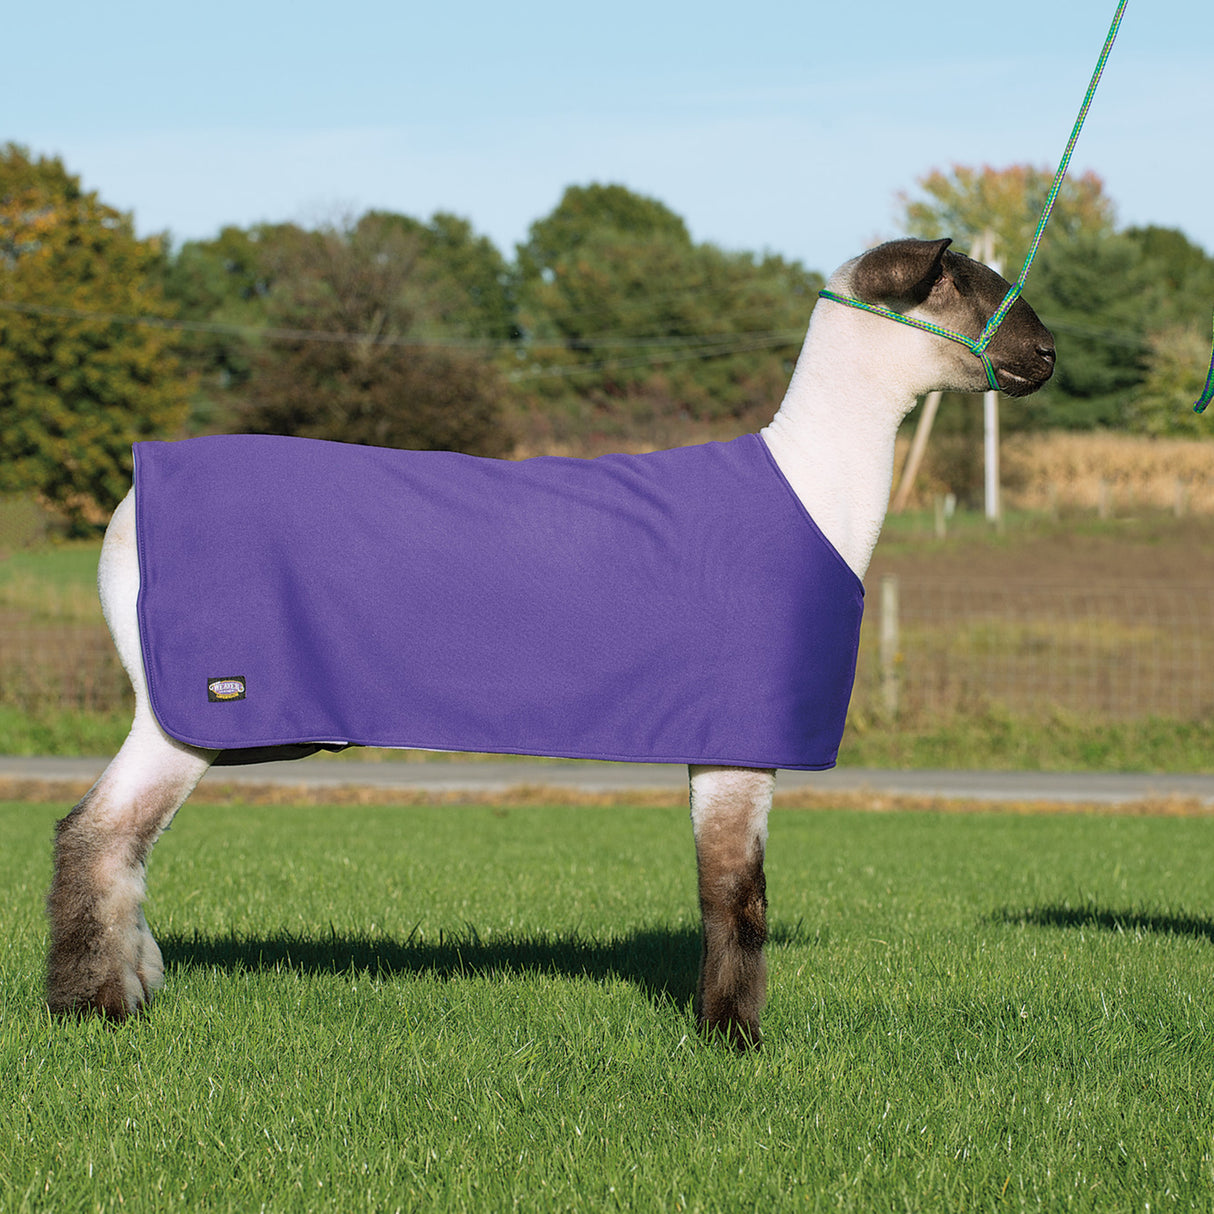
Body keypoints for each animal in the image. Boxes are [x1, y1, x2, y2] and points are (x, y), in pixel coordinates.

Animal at [45, 237, 1056, 1047]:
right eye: (971, 288)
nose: (1047, 355)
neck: (814, 483)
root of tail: (127, 505)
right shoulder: (741, 730)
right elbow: (739, 895)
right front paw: (735, 1043)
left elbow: (725, 892)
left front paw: (720, 1030)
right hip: (198, 701)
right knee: (97, 833)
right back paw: (89, 1011)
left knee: (115, 842)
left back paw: (125, 993)